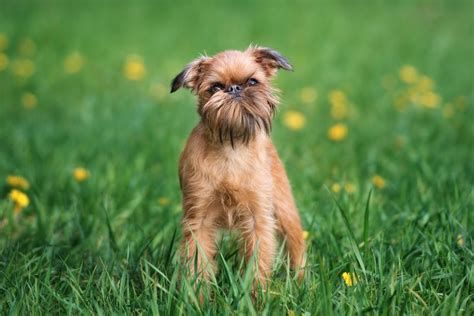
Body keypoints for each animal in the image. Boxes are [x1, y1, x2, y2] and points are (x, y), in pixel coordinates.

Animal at [170, 45, 304, 290]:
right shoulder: (199, 221)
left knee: (296, 246)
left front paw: (255, 295)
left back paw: (302, 283)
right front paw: (196, 295)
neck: (231, 148)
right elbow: (197, 263)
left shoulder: (258, 219)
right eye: (215, 87)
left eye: (252, 81)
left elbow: (257, 263)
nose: (234, 88)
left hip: (284, 209)